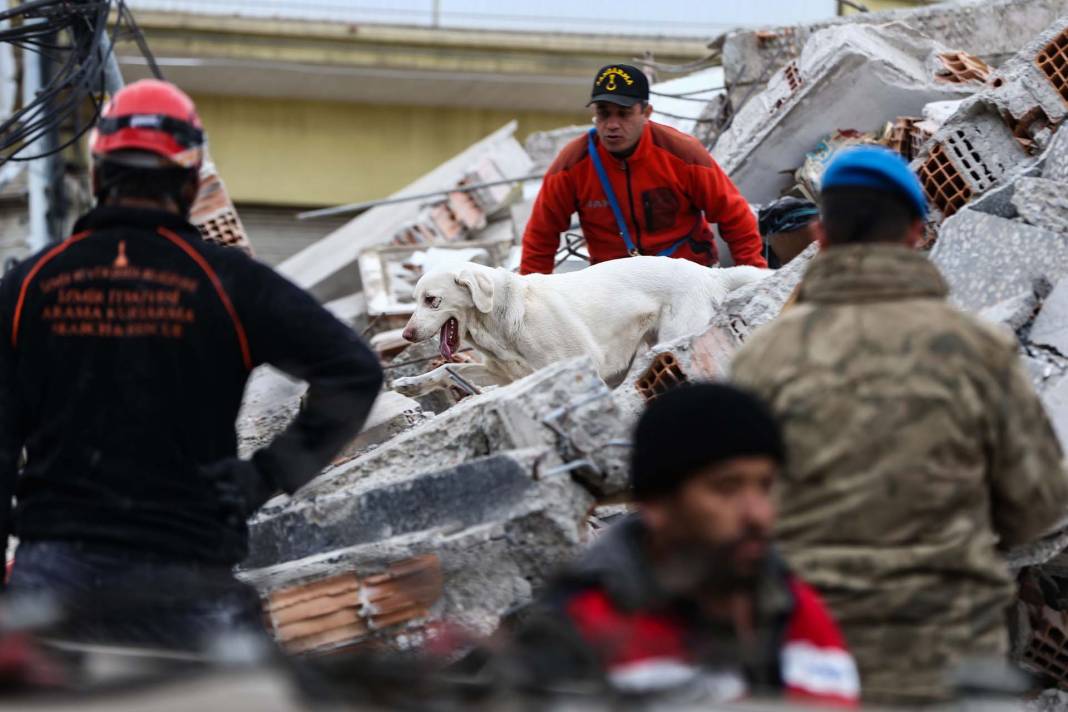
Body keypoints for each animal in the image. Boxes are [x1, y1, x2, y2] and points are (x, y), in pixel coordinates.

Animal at [393, 256, 768, 399]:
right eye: (413, 301)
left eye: (431, 300)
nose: (406, 335)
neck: (502, 320)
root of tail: (710, 273)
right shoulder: (506, 373)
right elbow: (447, 370)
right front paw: (412, 383)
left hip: (677, 336)